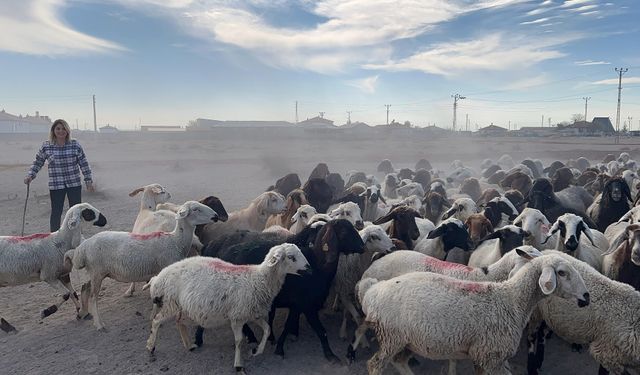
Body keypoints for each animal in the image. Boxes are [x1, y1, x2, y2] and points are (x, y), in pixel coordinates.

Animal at [146, 244, 310, 375]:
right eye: (291, 257)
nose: (309, 268)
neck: (259, 279)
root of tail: (158, 278)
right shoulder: (238, 317)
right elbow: (239, 341)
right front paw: (239, 366)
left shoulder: (253, 314)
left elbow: (267, 329)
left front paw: (257, 351)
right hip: (170, 303)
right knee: (156, 321)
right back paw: (151, 346)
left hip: (181, 307)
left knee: (179, 322)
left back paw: (189, 345)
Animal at [358, 253, 588, 375]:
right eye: (562, 272)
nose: (586, 297)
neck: (511, 300)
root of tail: (372, 290)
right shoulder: (491, 355)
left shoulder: (481, 355)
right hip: (391, 336)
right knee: (374, 364)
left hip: (408, 340)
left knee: (399, 361)